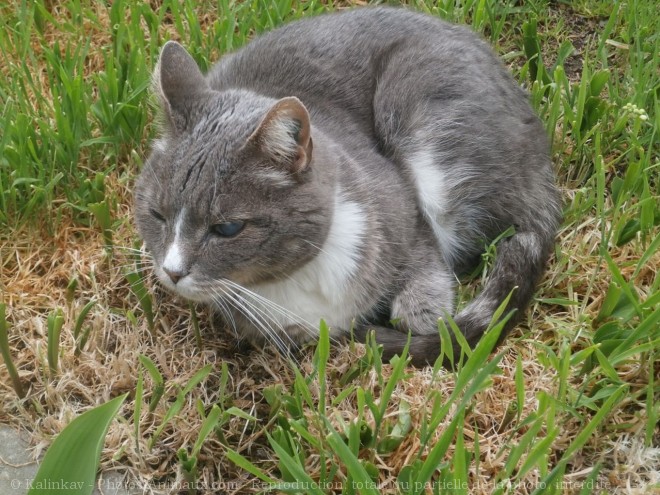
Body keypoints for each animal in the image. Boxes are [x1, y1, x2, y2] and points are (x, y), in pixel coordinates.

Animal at [134, 5, 564, 366]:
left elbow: (424, 263)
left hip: (417, 108)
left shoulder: (402, 209)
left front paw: (422, 315)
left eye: (227, 228)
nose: (172, 272)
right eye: (156, 214)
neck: (299, 278)